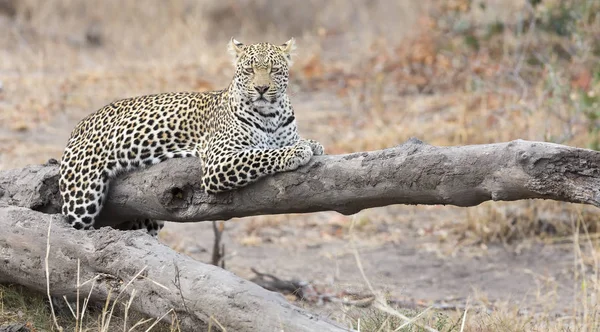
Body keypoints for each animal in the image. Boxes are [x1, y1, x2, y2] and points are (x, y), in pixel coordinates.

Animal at [57, 38, 324, 236]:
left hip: (147, 218)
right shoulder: (218, 161)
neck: (271, 114)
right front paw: (297, 151)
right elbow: (261, 154)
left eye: (273, 70)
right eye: (249, 70)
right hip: (82, 196)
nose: (261, 89)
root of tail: (79, 125)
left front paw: (312, 144)